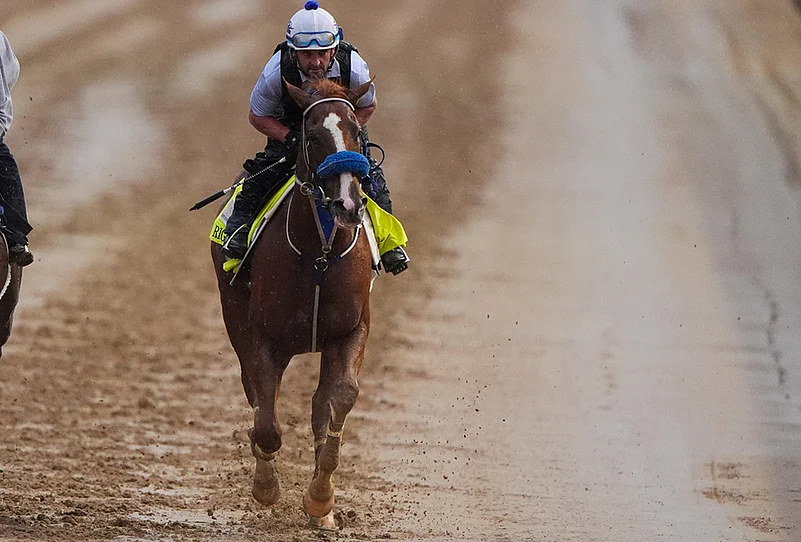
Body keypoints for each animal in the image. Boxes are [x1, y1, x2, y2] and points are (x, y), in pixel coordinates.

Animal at [211, 77, 376, 529]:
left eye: (357, 132)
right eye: (313, 136)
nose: (348, 204)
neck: (319, 253)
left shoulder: (351, 330)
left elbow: (339, 399)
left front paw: (321, 500)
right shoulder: (265, 339)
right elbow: (267, 421)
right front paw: (266, 488)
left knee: (319, 402)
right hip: (234, 315)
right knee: (254, 393)